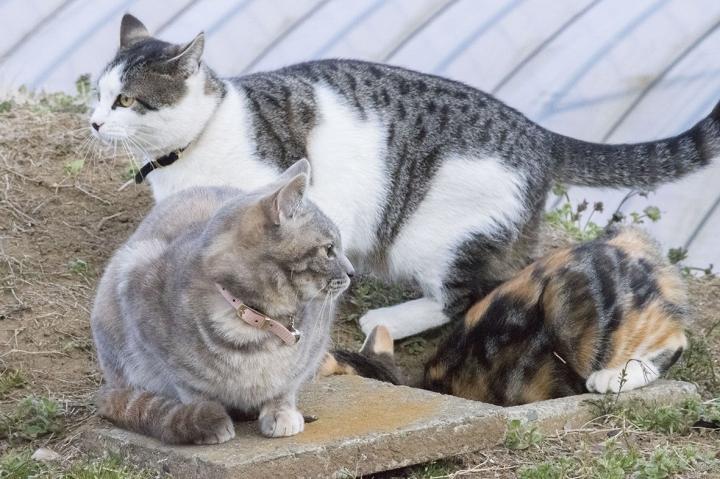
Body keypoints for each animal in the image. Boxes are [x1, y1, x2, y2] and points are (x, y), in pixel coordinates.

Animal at [90, 14, 716, 341]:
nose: (92, 121)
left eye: (126, 100)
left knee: (466, 296)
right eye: (98, 93)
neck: (190, 148)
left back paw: (387, 318)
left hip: (437, 233)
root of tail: (538, 134)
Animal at [91, 159, 355, 444]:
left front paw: (280, 412)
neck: (257, 322)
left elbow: (285, 384)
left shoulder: (310, 348)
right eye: (329, 249)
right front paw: (208, 415)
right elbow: (193, 388)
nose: (352, 272)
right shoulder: (152, 332)